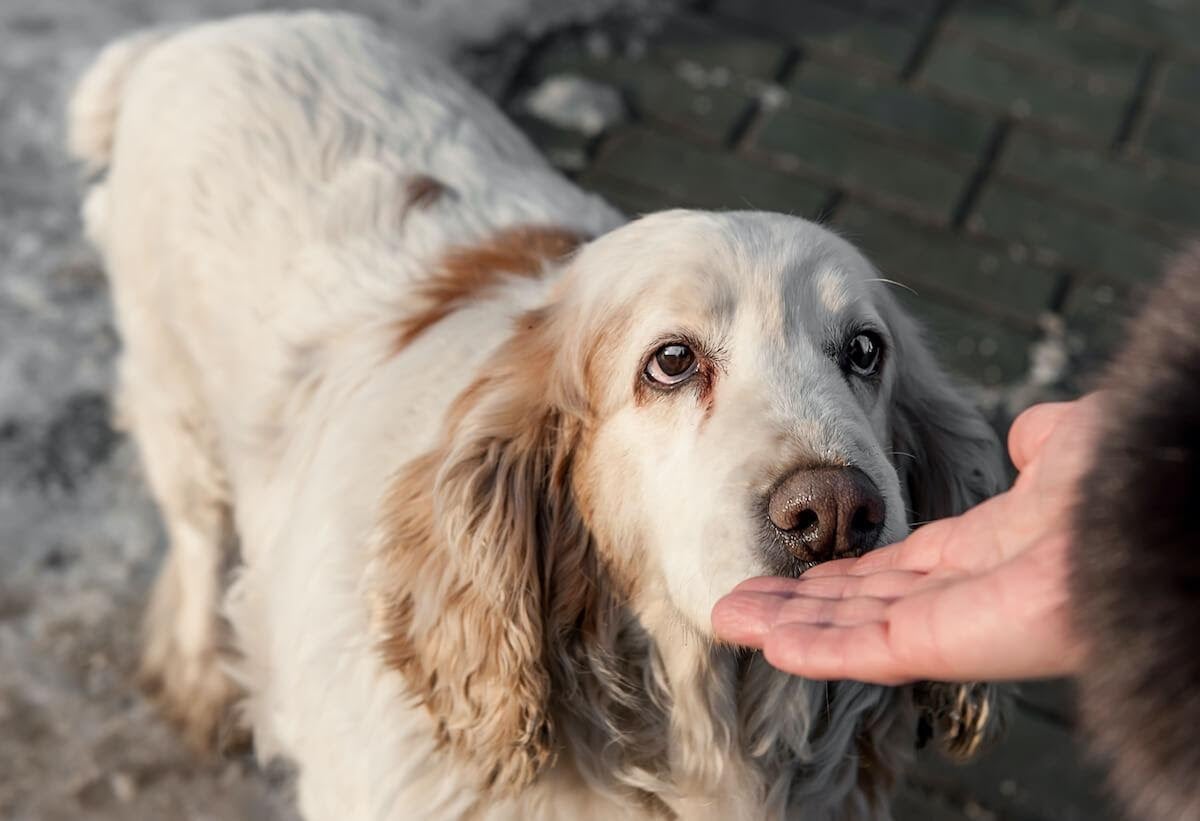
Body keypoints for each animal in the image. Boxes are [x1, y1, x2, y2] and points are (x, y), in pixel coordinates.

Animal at [70, 12, 1008, 820]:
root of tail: (194, 35)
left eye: (864, 351)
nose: (837, 513)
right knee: (198, 541)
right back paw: (200, 677)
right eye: (672, 361)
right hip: (177, 404)